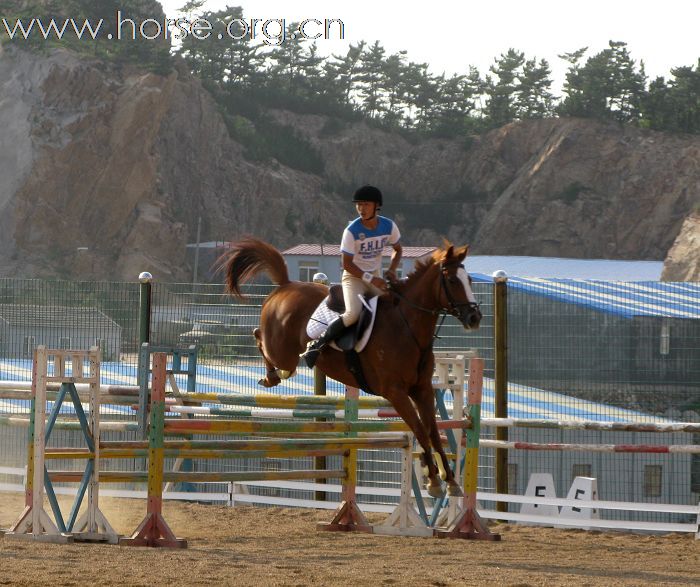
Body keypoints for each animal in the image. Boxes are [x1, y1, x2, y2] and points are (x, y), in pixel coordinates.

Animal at [221, 237, 484, 498]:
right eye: (452, 280)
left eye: (470, 280)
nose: (474, 318)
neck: (407, 327)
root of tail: (286, 285)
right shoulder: (396, 392)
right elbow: (420, 430)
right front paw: (435, 480)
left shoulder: (423, 390)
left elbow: (433, 432)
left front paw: (450, 480)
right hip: (282, 352)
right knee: (259, 337)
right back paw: (271, 376)